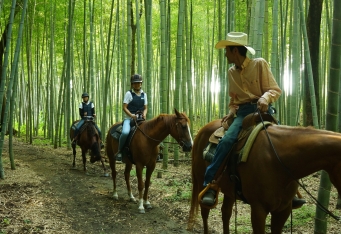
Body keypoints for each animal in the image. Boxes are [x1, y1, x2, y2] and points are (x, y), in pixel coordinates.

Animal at [187, 119, 340, 234]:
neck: (279, 160)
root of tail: (202, 130)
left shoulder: (283, 210)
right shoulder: (258, 209)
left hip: (230, 190)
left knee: (226, 213)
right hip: (201, 182)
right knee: (205, 212)